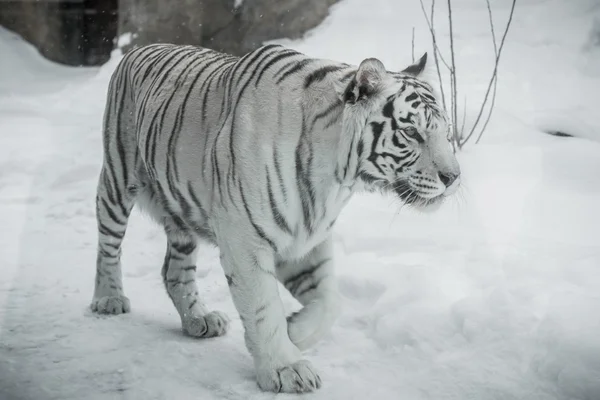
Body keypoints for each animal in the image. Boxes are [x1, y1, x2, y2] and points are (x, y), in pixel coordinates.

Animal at [92, 42, 460, 392]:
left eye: (445, 131)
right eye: (412, 133)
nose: (453, 177)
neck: (335, 178)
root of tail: (139, 48)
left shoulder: (306, 237)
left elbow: (330, 300)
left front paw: (295, 331)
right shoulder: (245, 239)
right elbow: (263, 307)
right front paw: (285, 368)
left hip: (181, 214)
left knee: (174, 271)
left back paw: (199, 320)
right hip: (118, 179)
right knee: (109, 246)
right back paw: (109, 299)